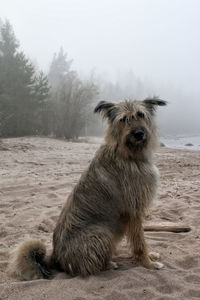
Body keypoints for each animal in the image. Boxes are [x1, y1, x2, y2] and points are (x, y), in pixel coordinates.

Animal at [8, 97, 166, 280]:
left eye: (141, 115)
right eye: (123, 119)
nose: (138, 133)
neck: (128, 154)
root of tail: (55, 258)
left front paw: (150, 256)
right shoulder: (134, 211)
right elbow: (140, 241)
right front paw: (148, 263)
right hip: (102, 233)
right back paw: (109, 264)